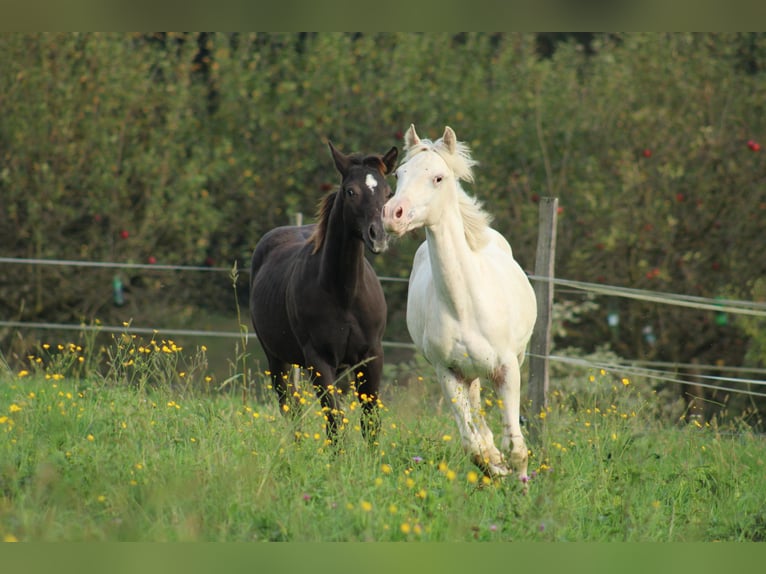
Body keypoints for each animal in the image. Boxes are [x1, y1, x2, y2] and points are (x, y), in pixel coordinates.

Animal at [250, 141, 400, 446]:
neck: (344, 294)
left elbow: (370, 420)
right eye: (350, 191)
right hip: (277, 360)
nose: (378, 236)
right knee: (290, 408)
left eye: (388, 193)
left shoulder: (371, 356)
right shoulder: (319, 362)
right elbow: (335, 422)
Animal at [384, 126, 540, 482]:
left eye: (438, 178)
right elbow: (474, 447)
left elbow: (517, 447)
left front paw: (521, 488)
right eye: (399, 174)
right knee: (478, 419)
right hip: (469, 376)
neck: (465, 306)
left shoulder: (507, 370)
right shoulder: (448, 373)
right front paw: (495, 469)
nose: (391, 215)